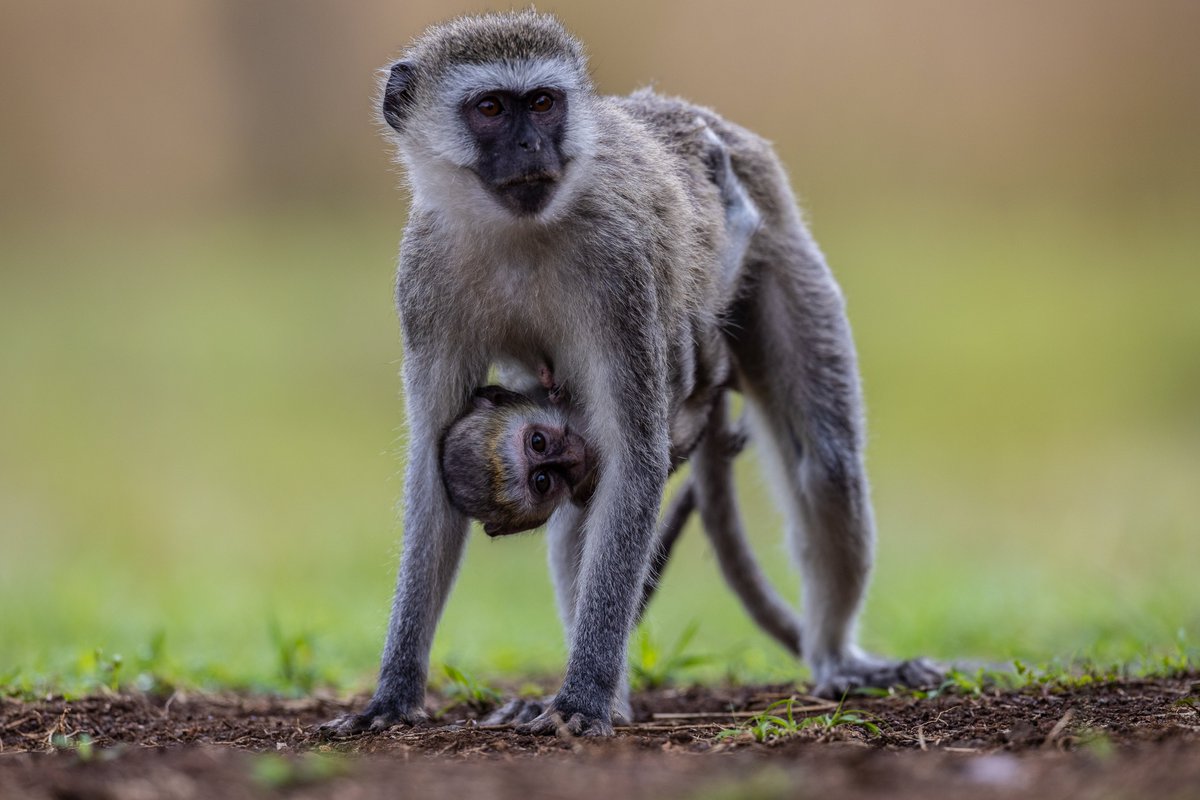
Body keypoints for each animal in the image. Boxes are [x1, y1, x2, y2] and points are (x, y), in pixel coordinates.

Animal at [321, 10, 940, 739]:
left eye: (542, 103)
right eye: (491, 108)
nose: (532, 146)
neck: (514, 231)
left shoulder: (618, 269)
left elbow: (635, 457)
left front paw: (585, 698)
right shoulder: (425, 279)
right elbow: (433, 473)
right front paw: (394, 691)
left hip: (783, 257)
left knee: (826, 464)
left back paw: (836, 660)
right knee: (576, 517)